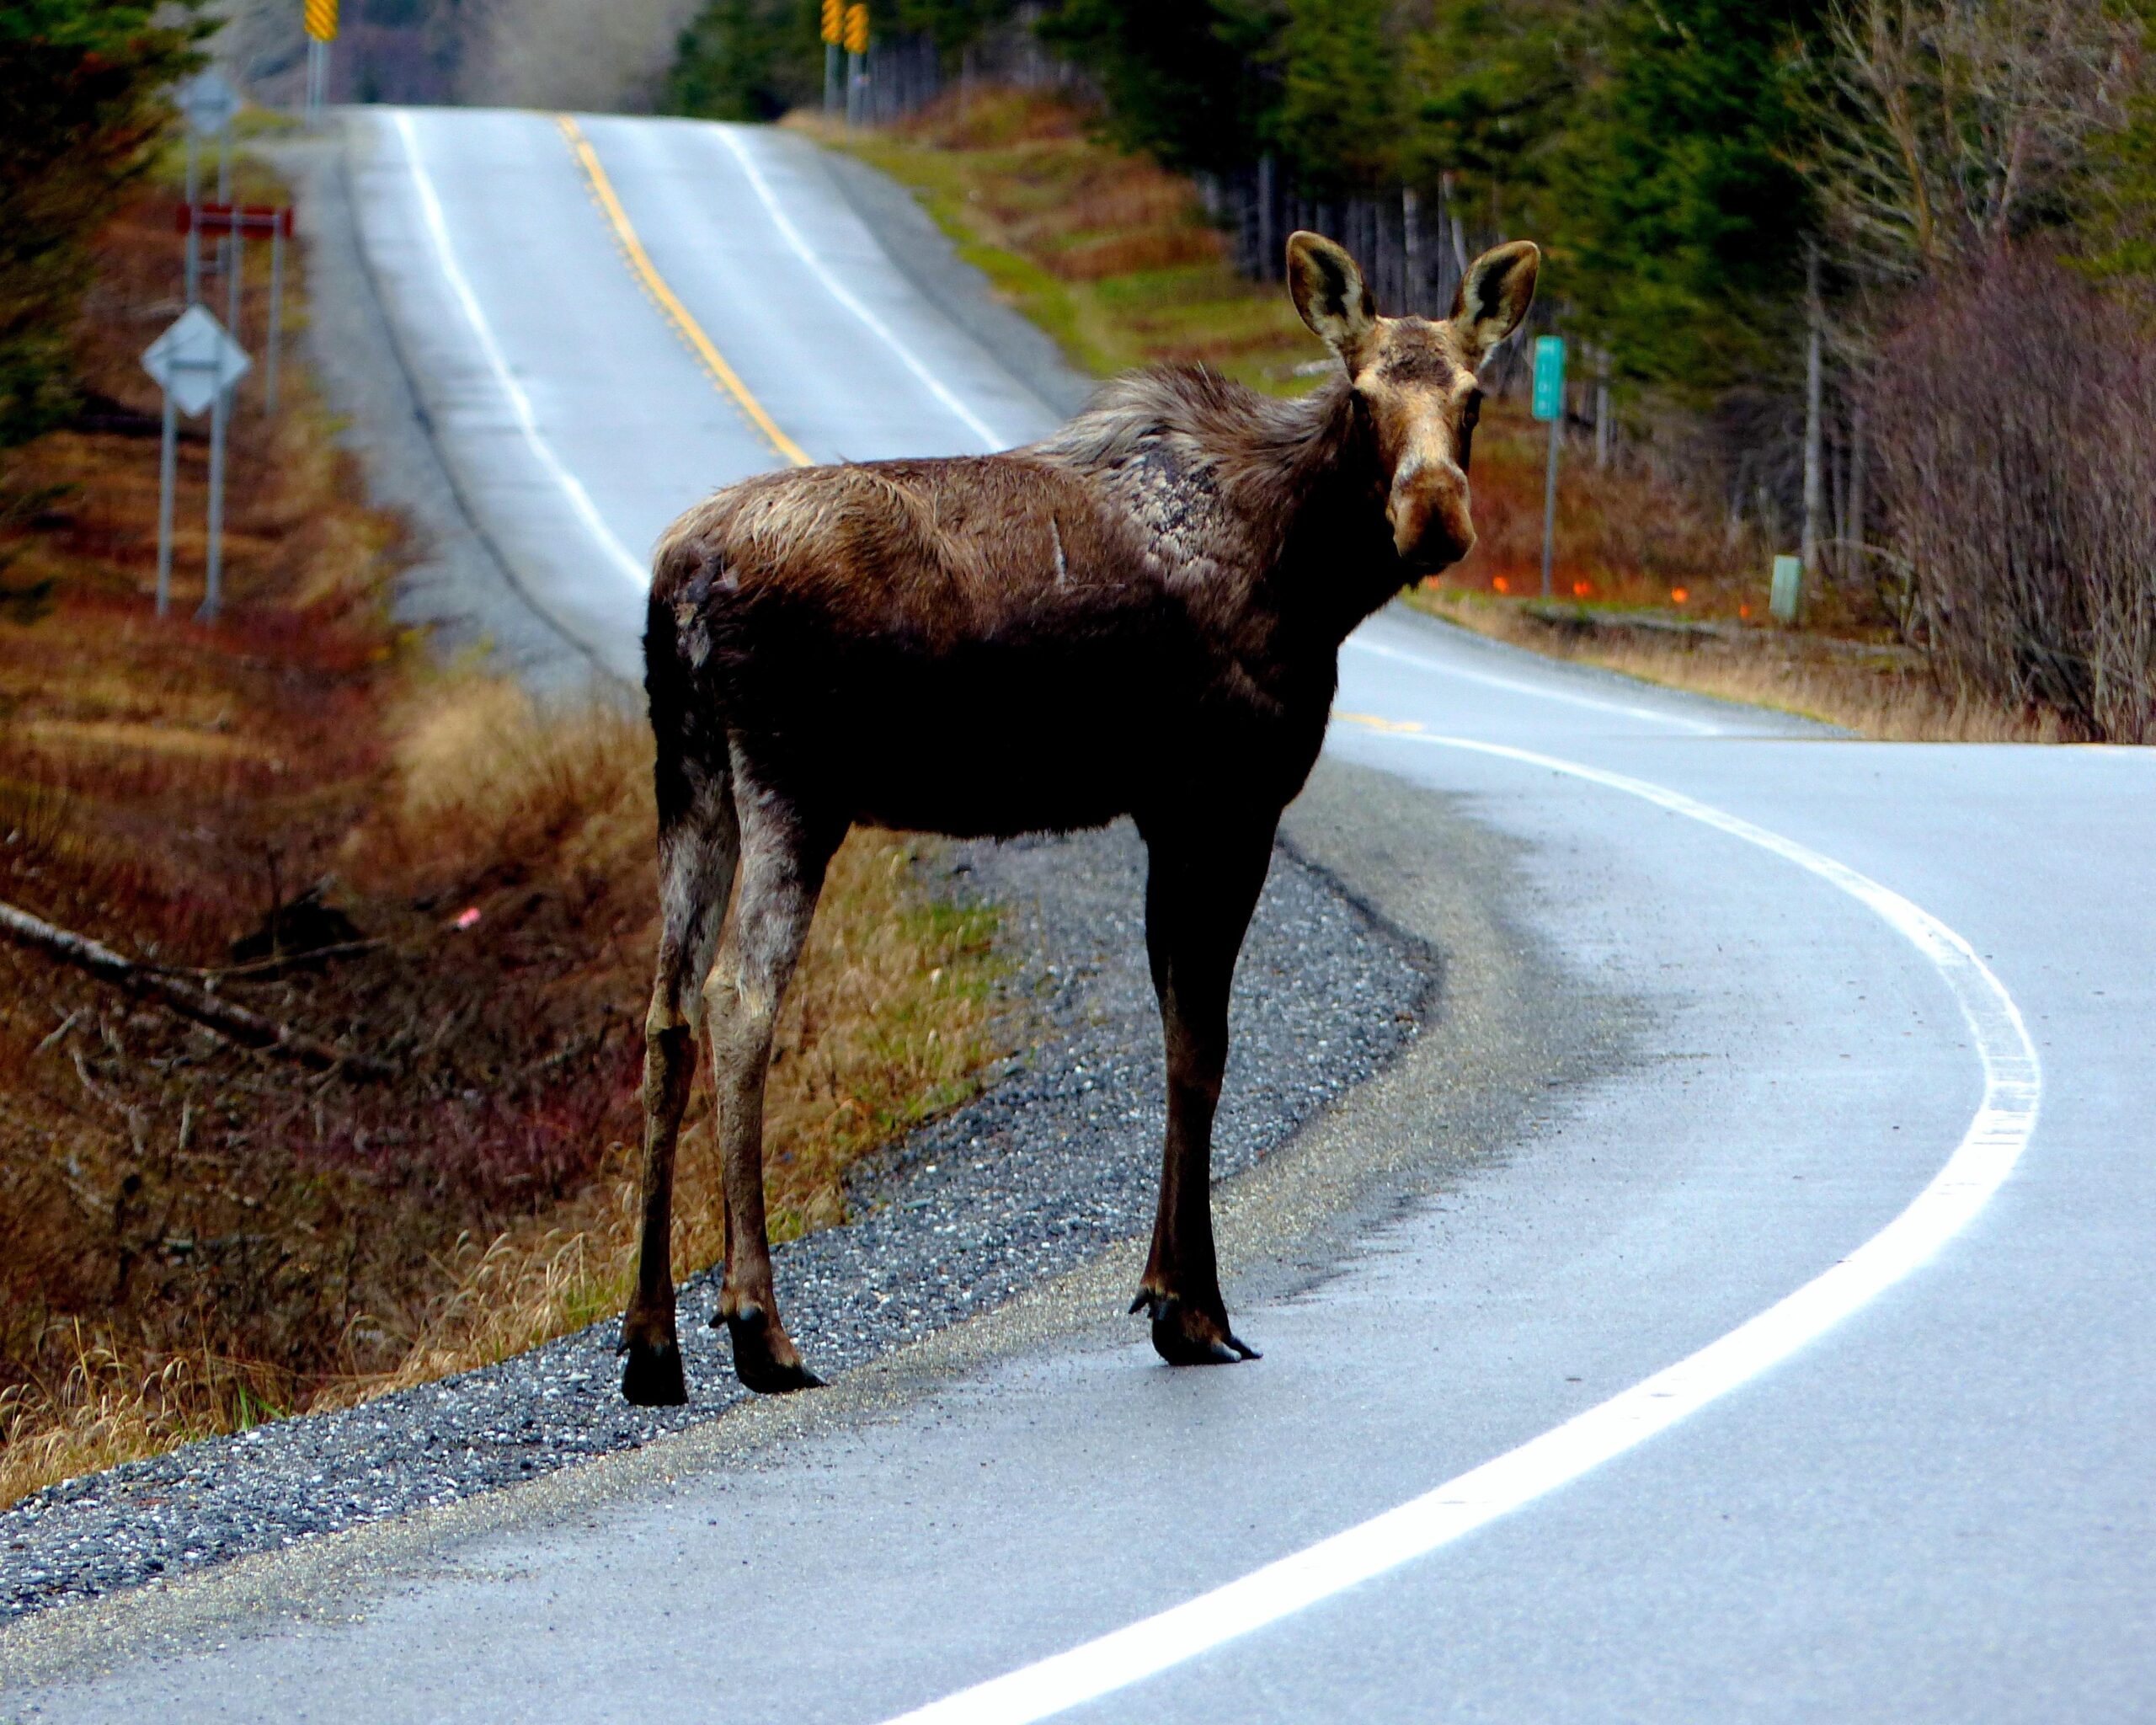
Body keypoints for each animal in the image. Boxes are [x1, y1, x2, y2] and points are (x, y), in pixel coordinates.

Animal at [616, 228, 1543, 1397]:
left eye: (1473, 394)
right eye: (1363, 390)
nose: (1433, 514)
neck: (1312, 577)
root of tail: (679, 581)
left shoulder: (1160, 811)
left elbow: (1177, 1028)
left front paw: (1167, 1291)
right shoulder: (1226, 796)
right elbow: (1203, 1044)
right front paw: (1193, 1307)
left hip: (687, 770)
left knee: (665, 1009)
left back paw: (650, 1338)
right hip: (791, 780)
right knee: (740, 996)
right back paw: (758, 1323)